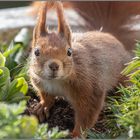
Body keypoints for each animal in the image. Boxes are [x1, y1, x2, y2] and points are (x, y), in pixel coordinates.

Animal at [29, 1, 140, 137]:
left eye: (69, 52)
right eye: (36, 52)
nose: (54, 65)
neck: (56, 82)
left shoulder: (89, 90)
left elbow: (87, 114)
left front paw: (77, 134)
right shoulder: (40, 82)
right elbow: (46, 96)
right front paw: (43, 106)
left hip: (125, 75)